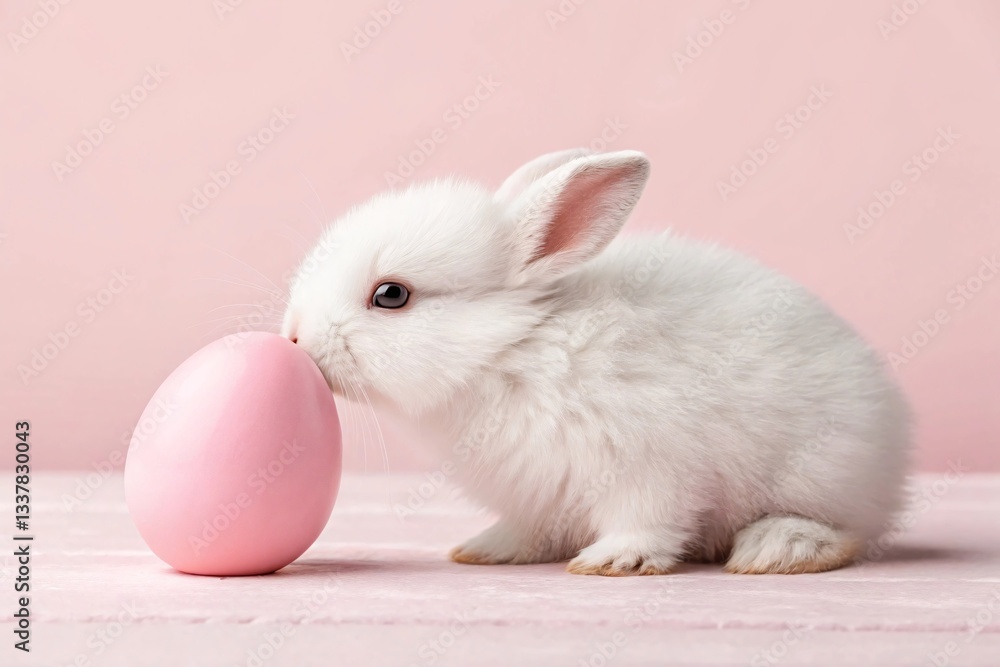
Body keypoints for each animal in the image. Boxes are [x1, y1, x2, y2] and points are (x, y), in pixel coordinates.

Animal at [281, 148, 911, 576]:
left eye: (391, 295)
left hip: (820, 471)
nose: (293, 337)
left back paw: (777, 549)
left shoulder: (650, 466)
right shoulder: (537, 496)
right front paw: (487, 549)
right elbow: (530, 533)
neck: (512, 348)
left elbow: (648, 521)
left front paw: (613, 562)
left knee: (844, 529)